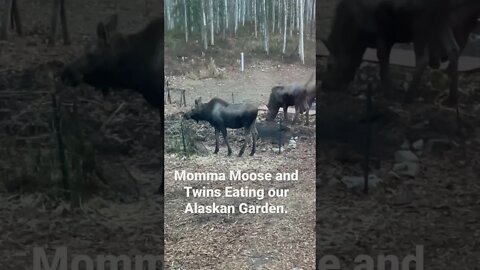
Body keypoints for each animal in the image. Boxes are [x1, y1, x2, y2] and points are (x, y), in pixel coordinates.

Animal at [320, 0, 480, 105]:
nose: (324, 86)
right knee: (453, 49)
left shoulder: (382, 35)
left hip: (421, 20)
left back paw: (409, 97)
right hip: (440, 19)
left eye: (329, 65)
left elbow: (383, 65)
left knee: (423, 58)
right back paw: (452, 98)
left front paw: (389, 93)